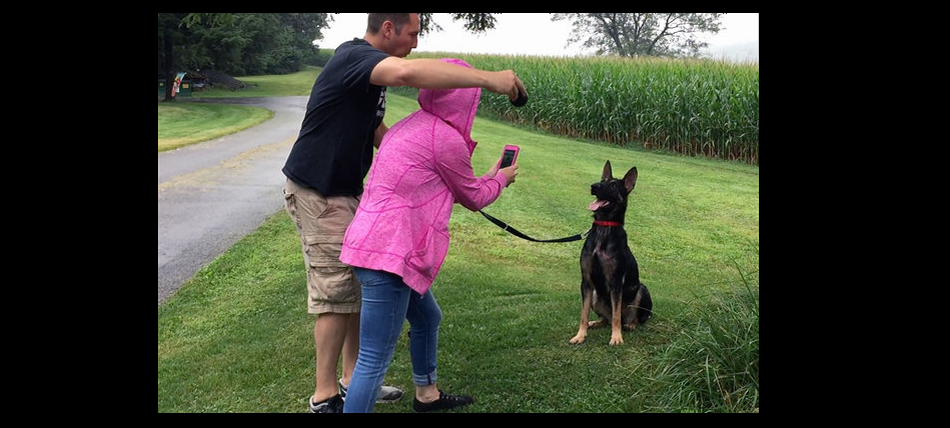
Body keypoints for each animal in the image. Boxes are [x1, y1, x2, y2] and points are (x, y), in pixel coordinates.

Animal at [568, 160, 652, 344]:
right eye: (602, 180)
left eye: (613, 186)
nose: (594, 186)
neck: (604, 227)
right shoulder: (586, 282)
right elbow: (583, 314)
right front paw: (580, 335)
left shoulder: (615, 282)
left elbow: (616, 317)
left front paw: (616, 337)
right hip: (594, 295)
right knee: (606, 318)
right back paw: (595, 323)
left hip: (641, 290)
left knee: (630, 317)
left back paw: (630, 324)